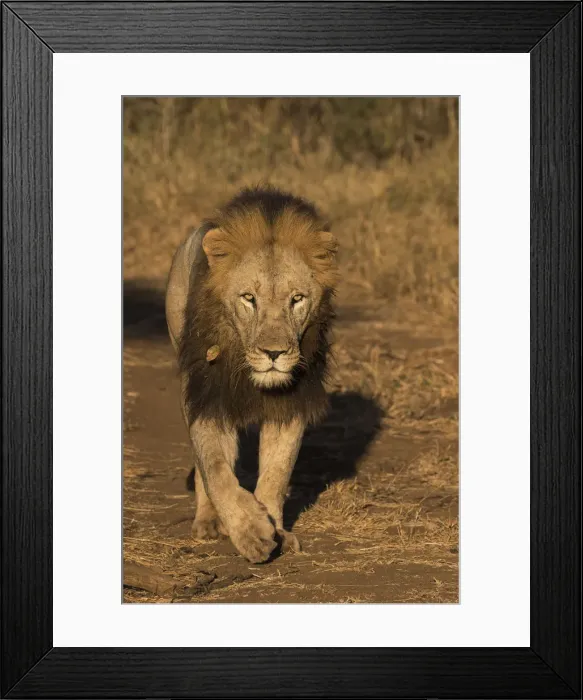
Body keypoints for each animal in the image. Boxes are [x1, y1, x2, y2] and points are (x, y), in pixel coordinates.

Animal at [165, 186, 338, 562]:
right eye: (249, 298)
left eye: (297, 299)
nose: (274, 354)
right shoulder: (207, 395)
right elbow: (215, 468)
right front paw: (251, 532)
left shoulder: (290, 404)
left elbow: (277, 473)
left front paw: (277, 530)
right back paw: (208, 521)